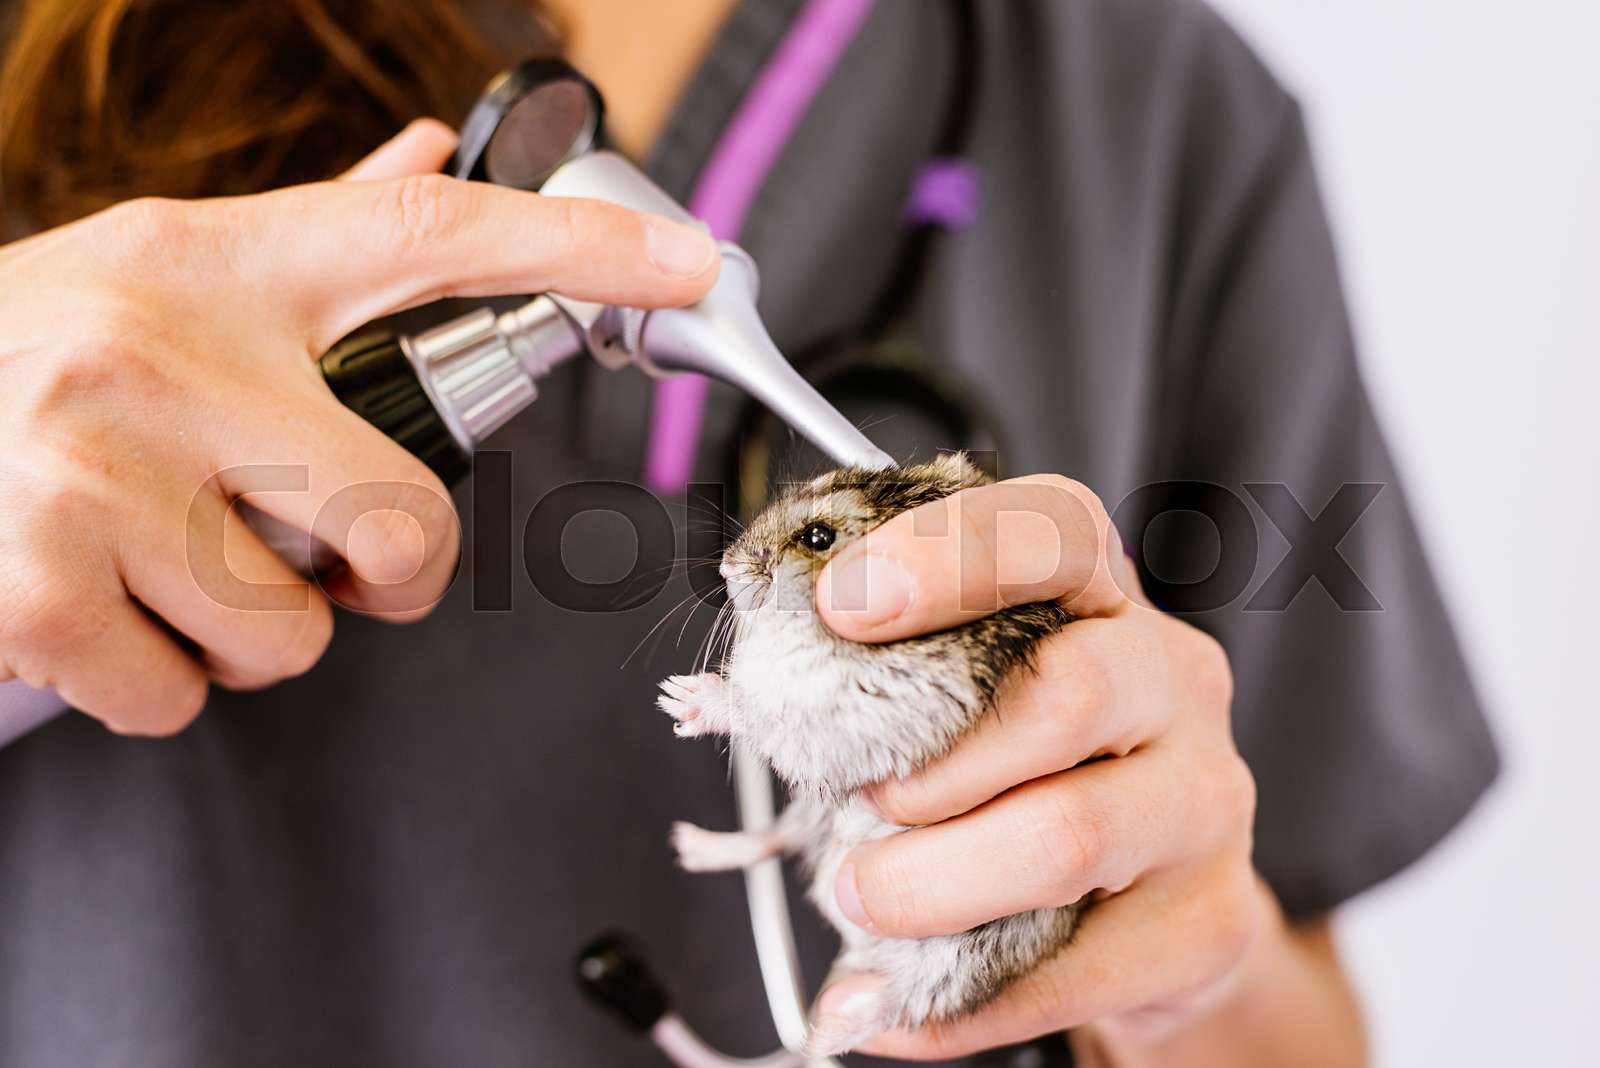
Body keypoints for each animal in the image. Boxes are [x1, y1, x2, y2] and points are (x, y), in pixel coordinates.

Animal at [657, 453, 1082, 1057]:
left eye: (818, 537)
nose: (725, 565)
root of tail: (858, 948)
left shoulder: (852, 706)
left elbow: (762, 711)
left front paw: (681, 698)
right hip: (816, 818)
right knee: (773, 839)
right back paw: (689, 846)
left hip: (953, 967)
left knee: (893, 1007)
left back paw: (821, 1031)